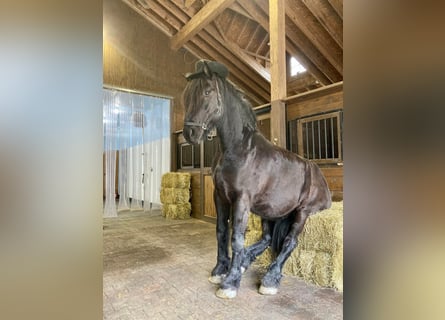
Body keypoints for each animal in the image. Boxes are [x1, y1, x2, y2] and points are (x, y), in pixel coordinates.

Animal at [182, 60, 332, 300]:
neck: (239, 149)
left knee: (290, 242)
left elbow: (237, 237)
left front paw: (230, 283)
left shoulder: (241, 199)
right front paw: (220, 270)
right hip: (269, 212)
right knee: (267, 238)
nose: (190, 134)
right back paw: (245, 262)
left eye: (207, 92)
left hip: (303, 212)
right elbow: (222, 231)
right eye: (187, 95)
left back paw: (270, 279)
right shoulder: (220, 196)